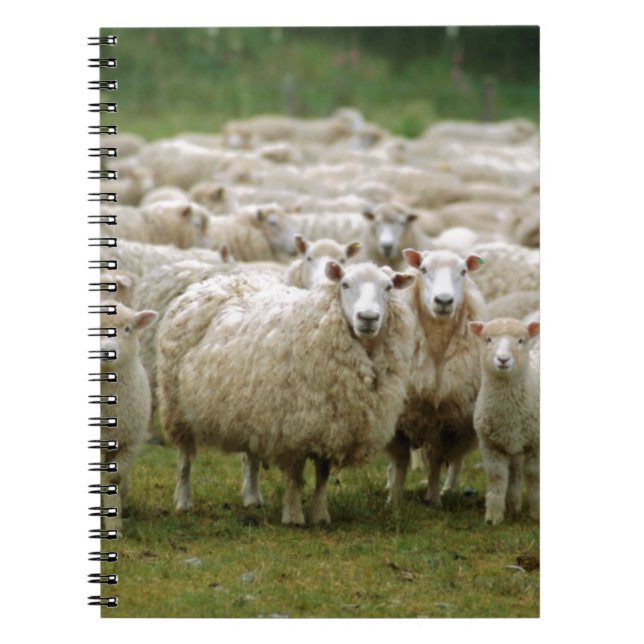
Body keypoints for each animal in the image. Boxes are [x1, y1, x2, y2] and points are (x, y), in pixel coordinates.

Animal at [156, 262, 416, 524]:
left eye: (388, 287)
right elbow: (295, 474)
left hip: (252, 406)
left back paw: (252, 498)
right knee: (185, 458)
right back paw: (183, 501)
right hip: (176, 405)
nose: (368, 318)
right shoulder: (292, 426)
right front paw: (293, 515)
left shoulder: (330, 424)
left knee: (250, 455)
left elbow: (323, 473)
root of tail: (215, 282)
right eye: (345, 284)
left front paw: (319, 514)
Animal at [386, 248, 486, 506]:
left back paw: (450, 489)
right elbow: (400, 461)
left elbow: (435, 462)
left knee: (457, 460)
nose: (443, 301)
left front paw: (433, 499)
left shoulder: (446, 421)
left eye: (463, 271)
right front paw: (395, 499)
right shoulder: (400, 419)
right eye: (423, 269)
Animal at [469, 318, 540, 524]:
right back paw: (513, 506)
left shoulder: (536, 444)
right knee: (515, 473)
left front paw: (536, 513)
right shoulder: (490, 445)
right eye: (488, 339)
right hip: (513, 444)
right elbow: (497, 478)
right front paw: (493, 516)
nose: (502, 359)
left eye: (521, 340)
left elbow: (534, 477)